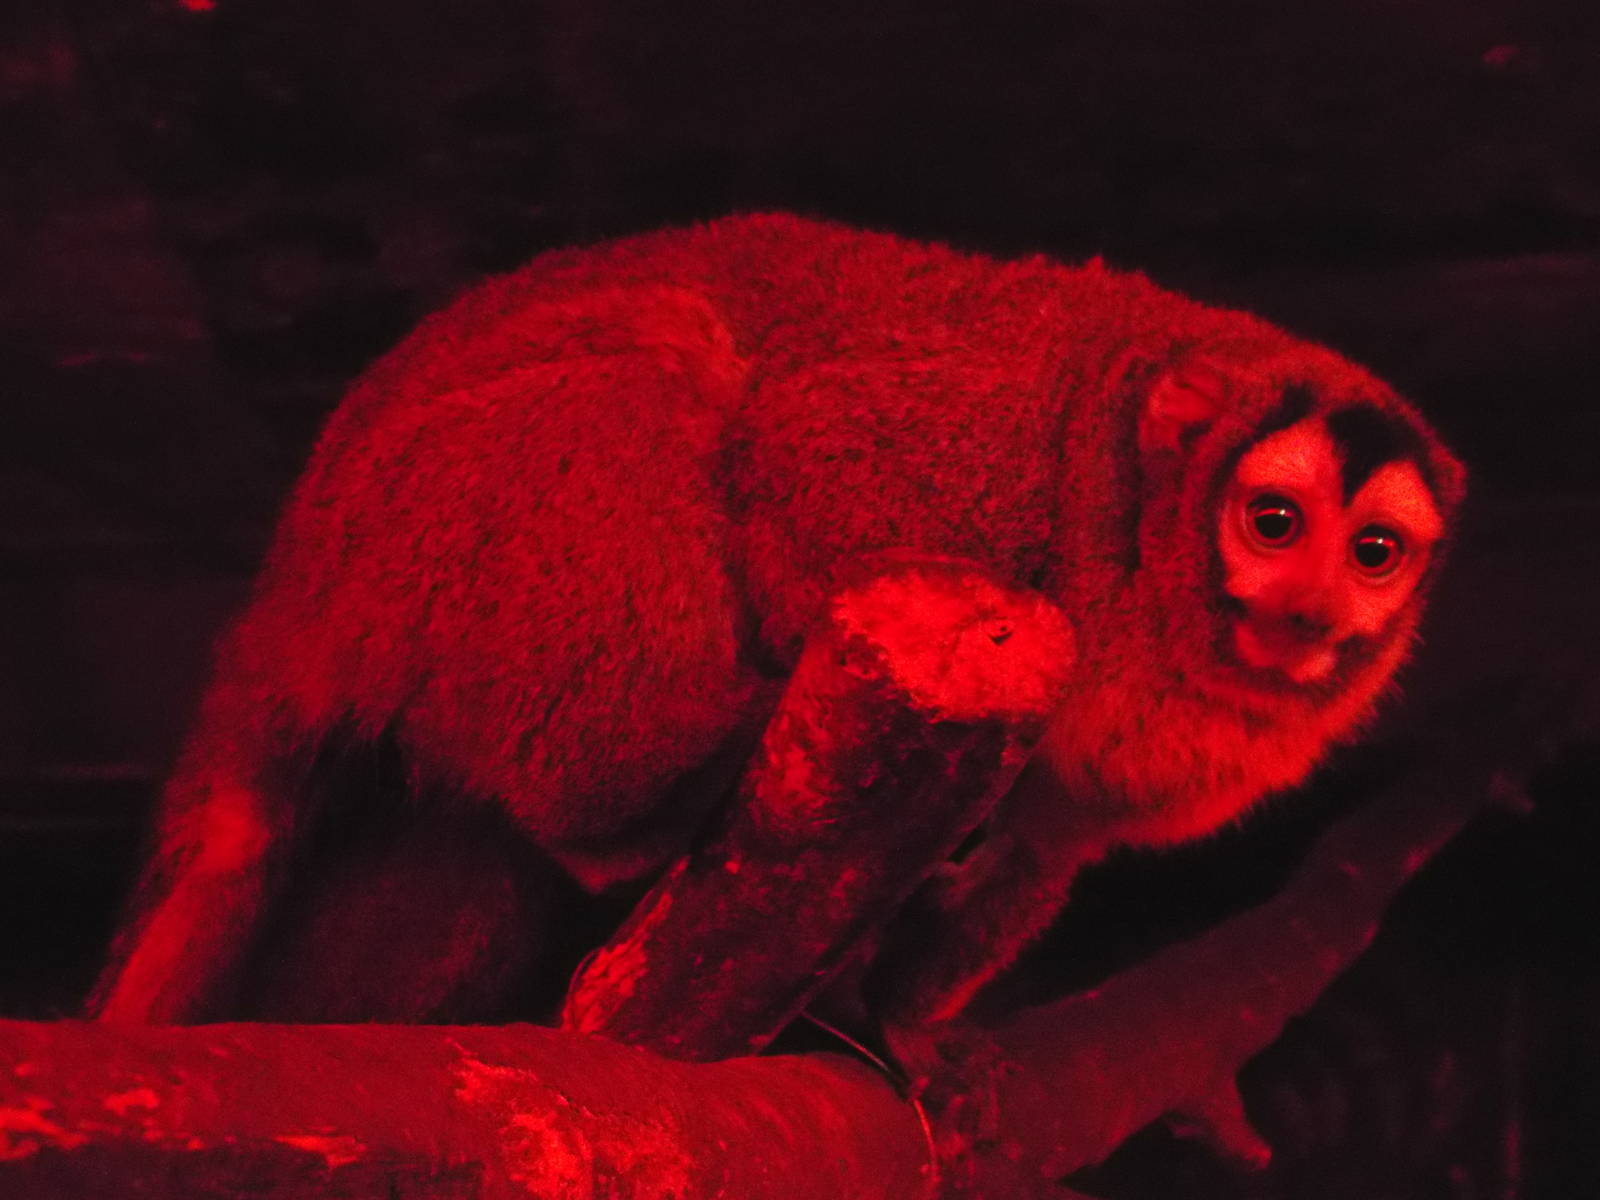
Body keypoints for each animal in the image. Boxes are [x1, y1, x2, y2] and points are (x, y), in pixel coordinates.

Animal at [89, 213, 1464, 1039]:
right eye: (1274, 523)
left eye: (1372, 553)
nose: (1308, 608)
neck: (1140, 558)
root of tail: (294, 580)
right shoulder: (989, 467)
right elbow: (796, 468)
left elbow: (1042, 851)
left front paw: (910, 1037)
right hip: (420, 518)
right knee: (663, 359)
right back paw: (633, 799)